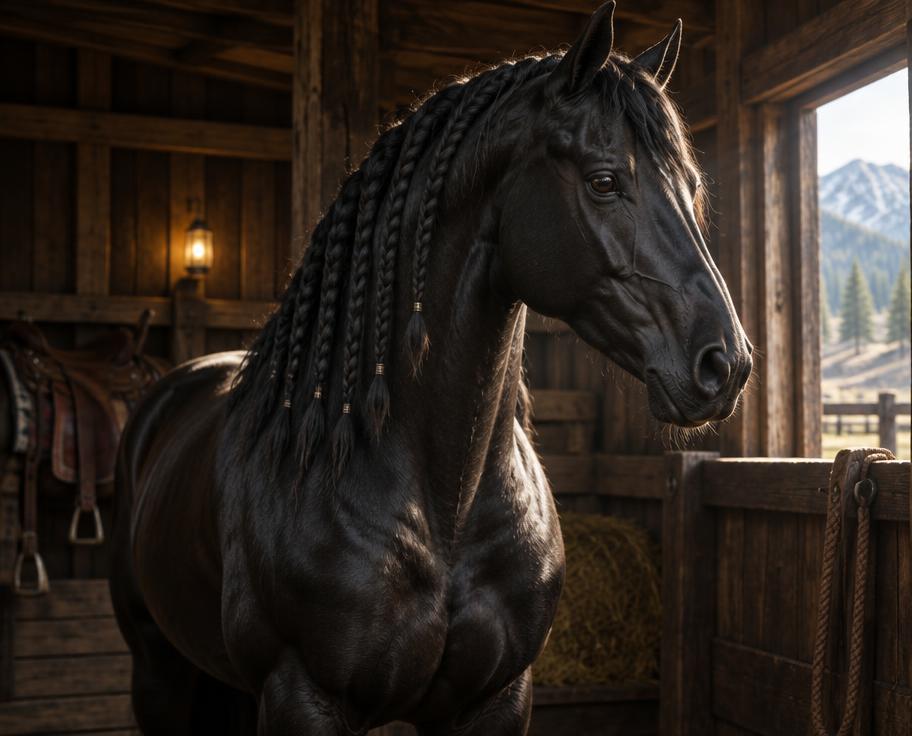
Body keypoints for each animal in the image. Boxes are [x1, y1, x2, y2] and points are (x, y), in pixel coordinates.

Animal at [109, 3, 753, 734]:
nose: (724, 363)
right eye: (604, 181)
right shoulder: (304, 696)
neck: (446, 501)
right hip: (158, 671)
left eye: (692, 188)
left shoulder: (496, 699)